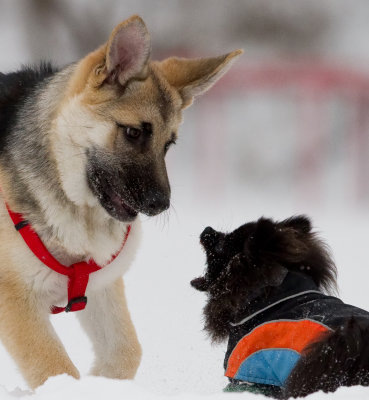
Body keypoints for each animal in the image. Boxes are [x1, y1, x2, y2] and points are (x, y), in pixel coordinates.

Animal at [0, 17, 240, 390]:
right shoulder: (15, 300)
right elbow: (54, 367)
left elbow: (127, 352)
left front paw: (103, 382)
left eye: (168, 144)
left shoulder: (101, 286)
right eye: (133, 132)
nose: (160, 204)